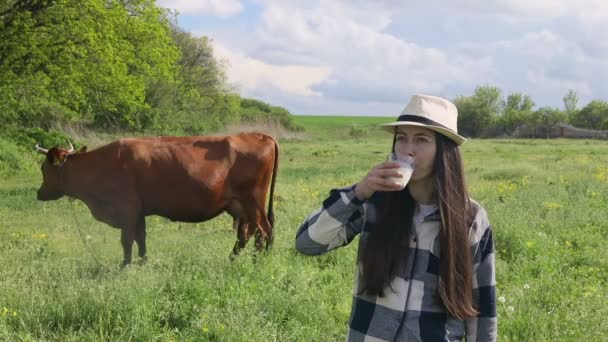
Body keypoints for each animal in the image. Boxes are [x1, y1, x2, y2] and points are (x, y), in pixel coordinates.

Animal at [35, 132, 278, 266]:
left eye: (43, 168)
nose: (39, 193)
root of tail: (260, 135)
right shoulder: (139, 212)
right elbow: (140, 239)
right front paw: (143, 262)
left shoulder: (127, 209)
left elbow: (126, 240)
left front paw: (125, 266)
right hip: (240, 206)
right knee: (246, 234)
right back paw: (232, 260)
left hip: (253, 202)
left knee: (263, 231)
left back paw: (258, 263)